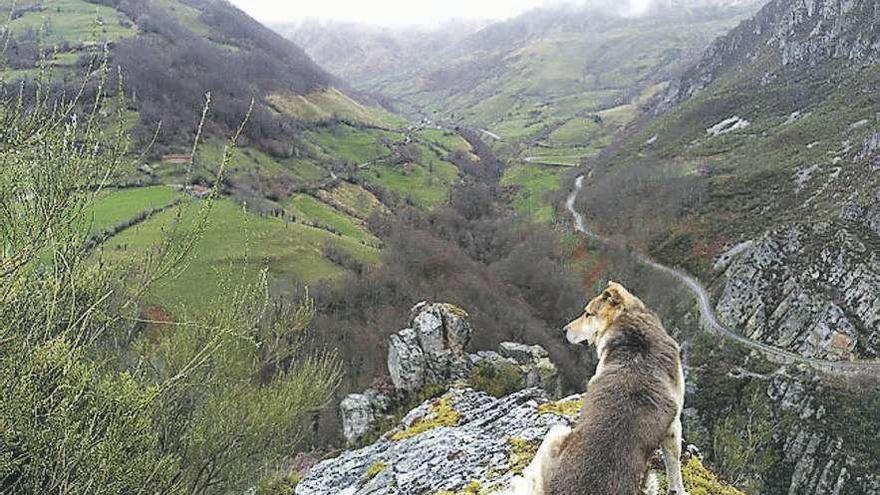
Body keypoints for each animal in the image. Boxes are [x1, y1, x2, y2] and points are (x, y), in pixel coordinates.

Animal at [512, 282, 692, 495]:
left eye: (588, 314)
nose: (564, 329)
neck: (635, 334)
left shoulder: (673, 427)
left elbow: (674, 468)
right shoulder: (674, 426)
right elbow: (675, 467)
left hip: (557, 432)